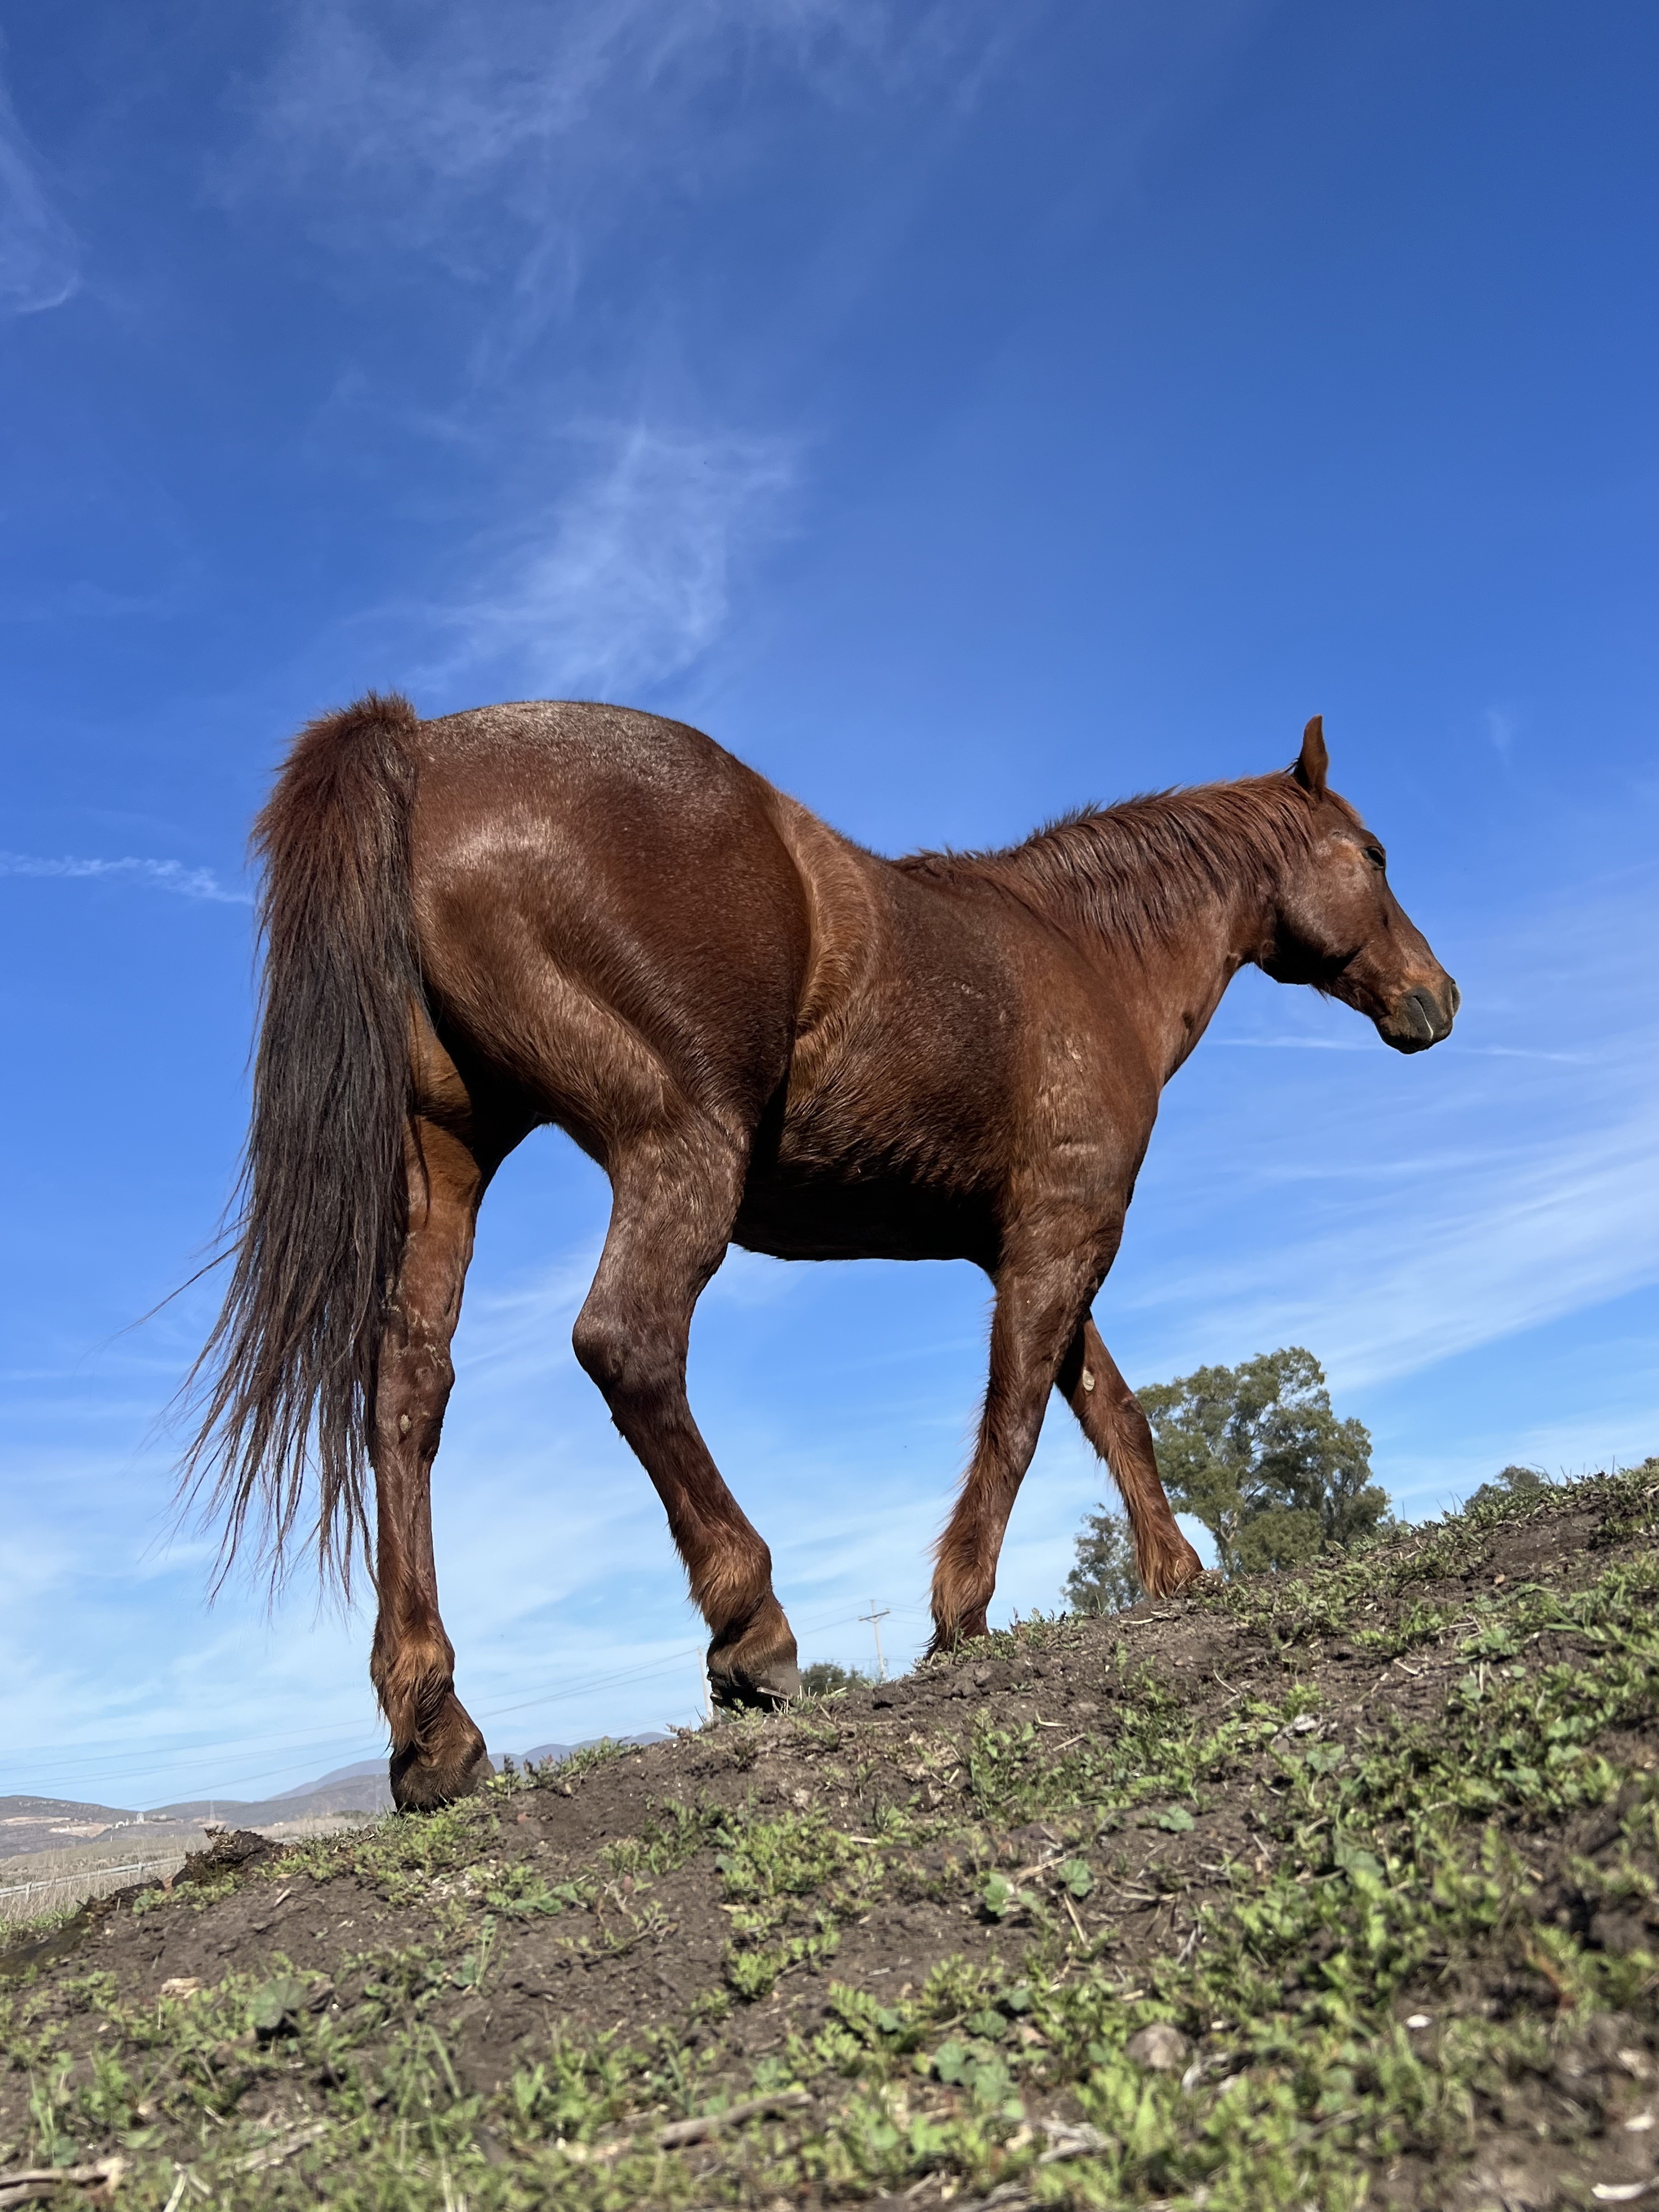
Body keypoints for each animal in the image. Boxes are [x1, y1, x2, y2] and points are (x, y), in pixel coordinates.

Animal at [185, 699, 1457, 1809]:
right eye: (1373, 852)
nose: (1435, 998)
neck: (1082, 953)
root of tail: (427, 750)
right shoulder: (1063, 1230)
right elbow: (1019, 1409)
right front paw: (960, 1610)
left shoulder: (1038, 1240)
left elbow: (1107, 1407)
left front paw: (1175, 1573)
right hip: (677, 1145)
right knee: (627, 1345)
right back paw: (750, 1628)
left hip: (447, 1167)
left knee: (408, 1396)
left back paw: (433, 1726)